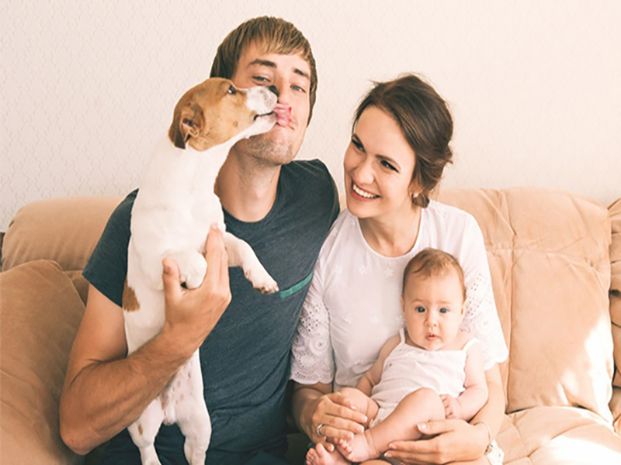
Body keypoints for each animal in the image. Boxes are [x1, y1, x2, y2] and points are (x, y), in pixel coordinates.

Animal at [120, 78, 284, 464]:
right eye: (231, 90)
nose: (272, 86)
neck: (194, 183)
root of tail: (169, 412)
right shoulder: (155, 260)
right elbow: (192, 259)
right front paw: (195, 276)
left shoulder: (220, 238)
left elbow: (245, 247)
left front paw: (263, 279)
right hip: (140, 419)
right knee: (147, 449)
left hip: (200, 422)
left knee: (195, 452)